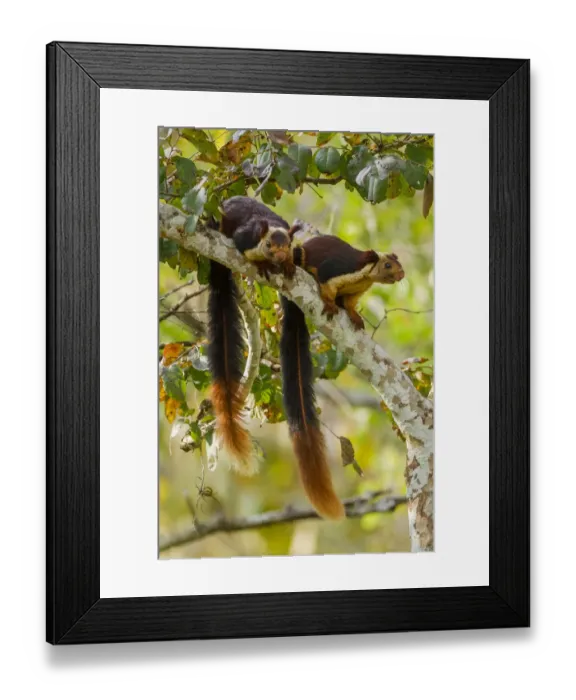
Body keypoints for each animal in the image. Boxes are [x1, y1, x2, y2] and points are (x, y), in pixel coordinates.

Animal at [206, 196, 344, 519]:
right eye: (269, 244)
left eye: (287, 245)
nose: (280, 257)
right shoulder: (245, 237)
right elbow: (242, 246)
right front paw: (264, 264)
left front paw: (291, 266)